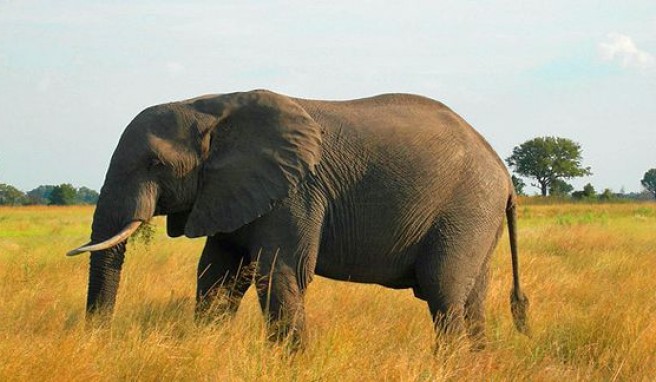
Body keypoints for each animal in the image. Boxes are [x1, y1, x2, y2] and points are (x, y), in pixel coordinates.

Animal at [68, 89, 528, 346]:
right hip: (476, 218)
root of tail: (504, 175)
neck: (210, 107)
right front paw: (203, 346)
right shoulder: (228, 192)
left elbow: (279, 271)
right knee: (471, 300)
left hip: (466, 211)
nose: (98, 338)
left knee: (443, 292)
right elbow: (215, 275)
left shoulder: (297, 192)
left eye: (156, 164)